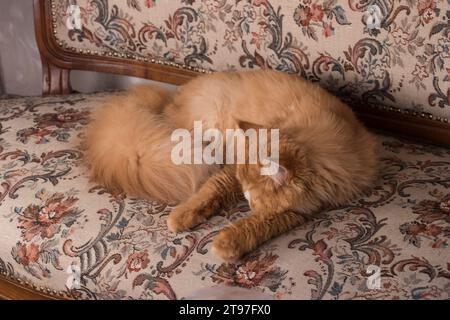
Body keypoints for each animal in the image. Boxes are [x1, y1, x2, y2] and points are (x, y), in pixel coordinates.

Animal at [83, 71, 380, 262]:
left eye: (254, 198)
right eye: (247, 194)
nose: (247, 201)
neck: (322, 144)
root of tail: (170, 98)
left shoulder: (299, 209)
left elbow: (257, 225)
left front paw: (228, 243)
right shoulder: (233, 169)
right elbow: (210, 191)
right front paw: (182, 216)